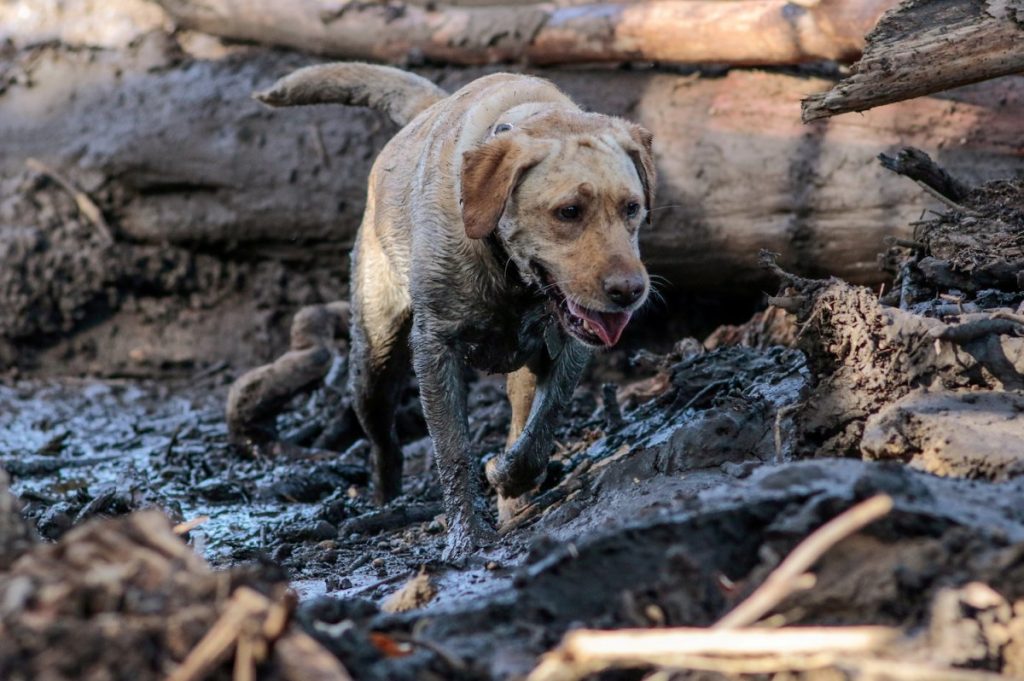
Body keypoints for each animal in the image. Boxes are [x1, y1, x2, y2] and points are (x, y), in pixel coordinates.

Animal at [258, 63, 655, 557]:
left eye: (632, 207)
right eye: (568, 211)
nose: (629, 291)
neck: (509, 272)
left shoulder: (568, 346)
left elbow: (541, 426)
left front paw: (507, 475)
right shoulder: (435, 347)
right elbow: (452, 448)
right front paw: (465, 535)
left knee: (520, 417)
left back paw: (513, 500)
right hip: (373, 361)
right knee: (383, 438)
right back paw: (383, 498)